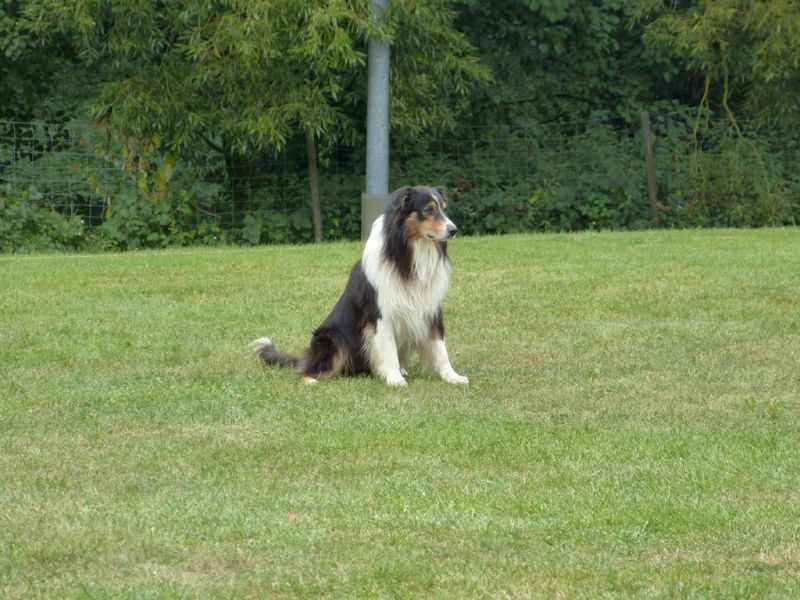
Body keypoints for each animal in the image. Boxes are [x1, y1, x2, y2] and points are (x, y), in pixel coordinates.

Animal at [252, 185, 468, 387]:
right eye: (428, 209)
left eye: (444, 209)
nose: (453, 230)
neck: (409, 255)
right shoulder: (381, 313)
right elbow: (389, 348)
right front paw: (394, 379)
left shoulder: (431, 308)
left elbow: (440, 348)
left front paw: (453, 376)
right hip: (334, 339)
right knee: (306, 370)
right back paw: (310, 379)